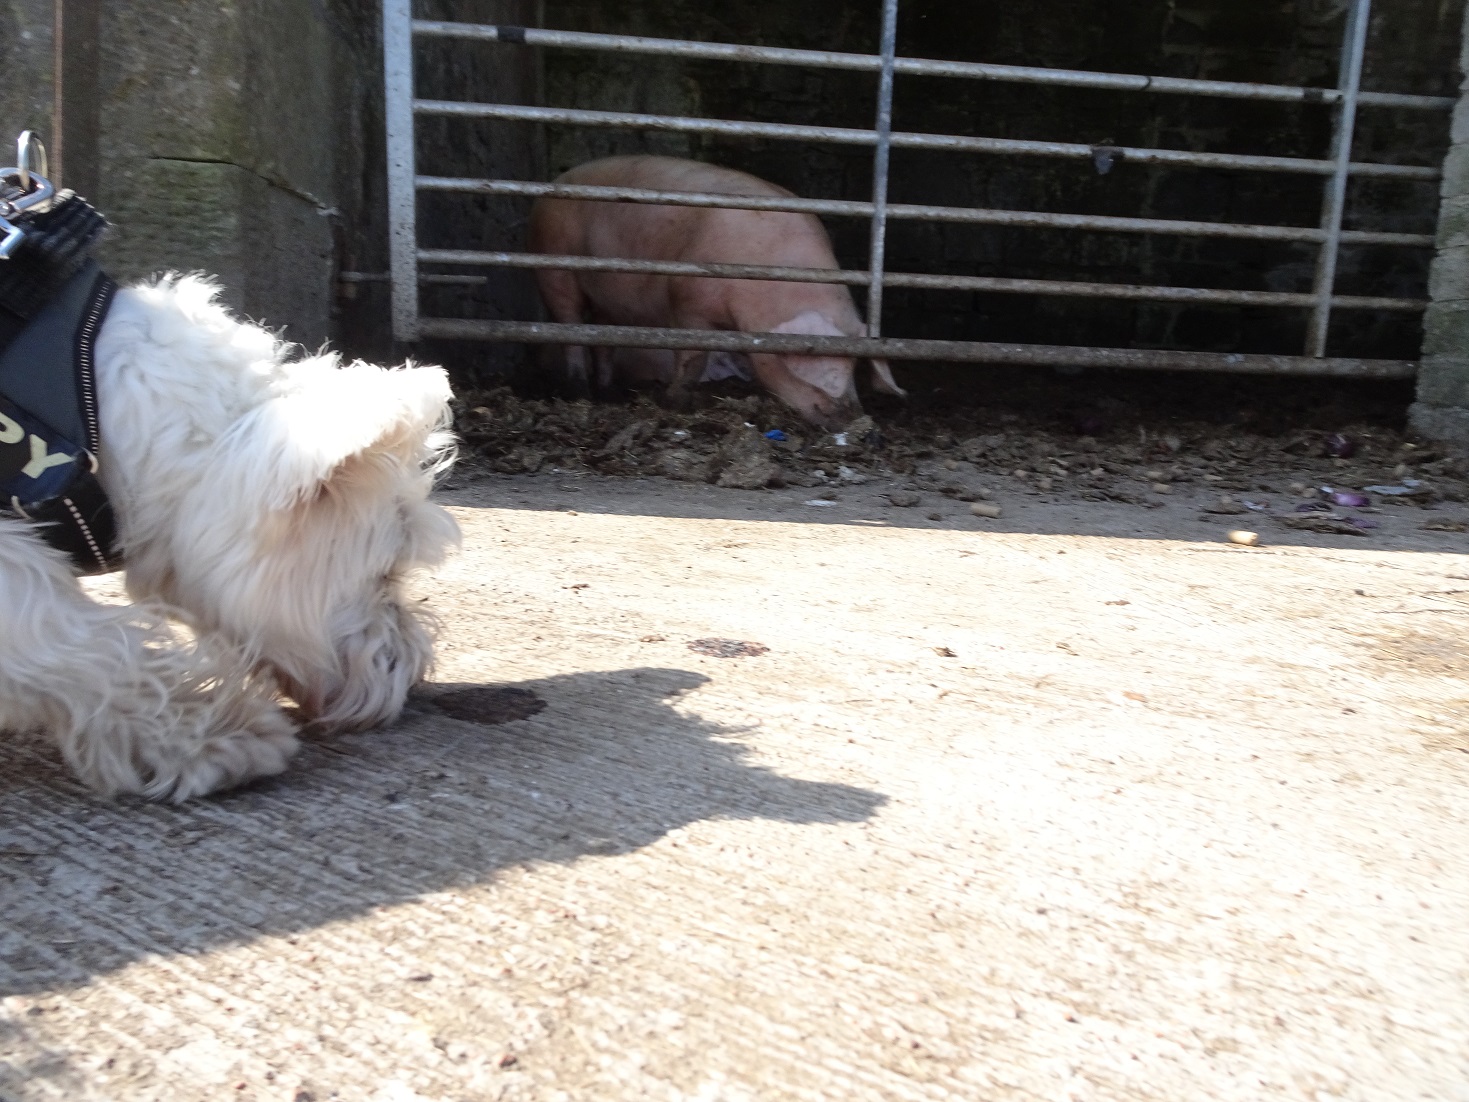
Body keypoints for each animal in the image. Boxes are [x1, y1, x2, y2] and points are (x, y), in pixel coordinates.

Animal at [522, 155, 899, 431]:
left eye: (855, 363)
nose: (853, 420)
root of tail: (559, 182)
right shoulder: (686, 304)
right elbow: (693, 358)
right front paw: (673, 404)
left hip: (607, 295)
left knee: (603, 336)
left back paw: (608, 393)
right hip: (553, 262)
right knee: (569, 326)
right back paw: (579, 392)